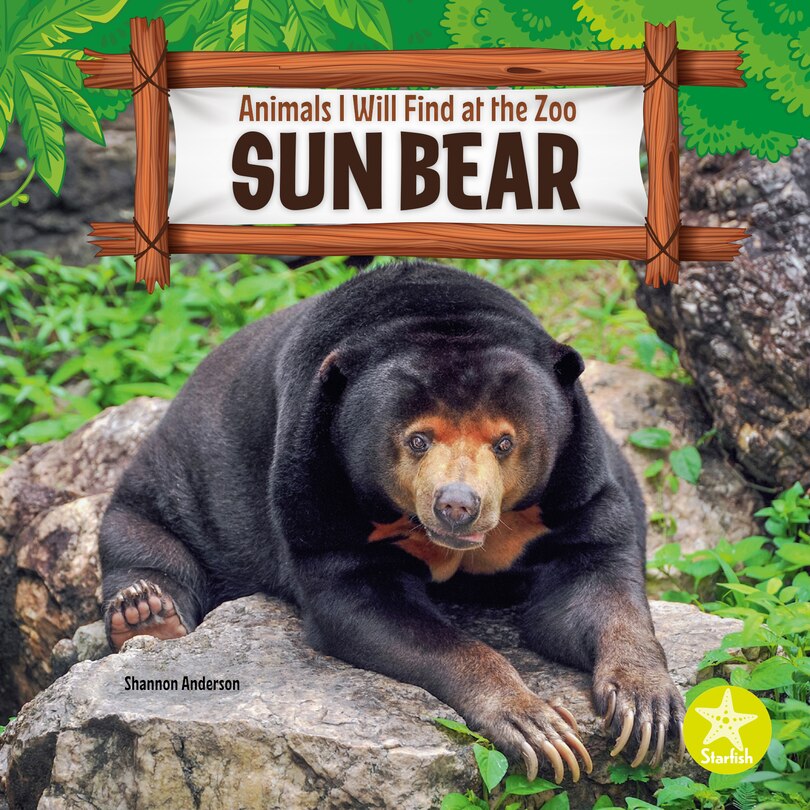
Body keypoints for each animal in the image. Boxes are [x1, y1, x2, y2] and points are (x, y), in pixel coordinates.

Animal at [100, 260, 684, 783]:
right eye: (418, 439)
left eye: (505, 442)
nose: (458, 504)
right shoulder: (315, 489)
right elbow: (364, 600)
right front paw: (537, 726)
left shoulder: (573, 485)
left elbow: (590, 581)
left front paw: (646, 709)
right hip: (172, 482)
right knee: (138, 538)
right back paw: (146, 612)